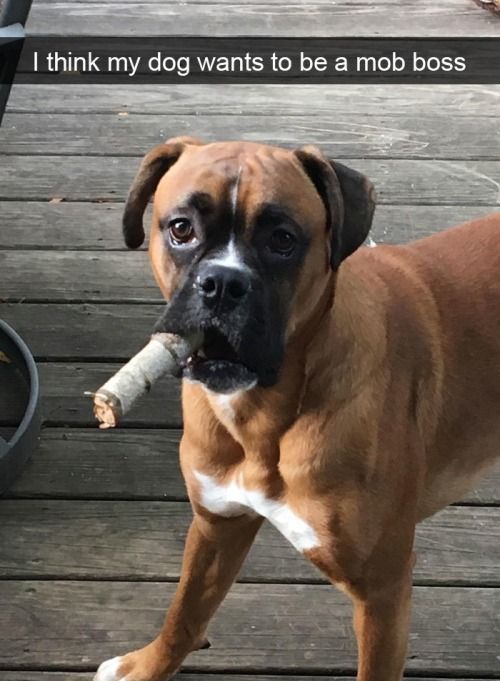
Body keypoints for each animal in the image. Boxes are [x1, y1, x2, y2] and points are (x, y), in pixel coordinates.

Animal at [94, 137, 500, 680]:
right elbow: (184, 613)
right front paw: (147, 666)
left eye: (283, 239)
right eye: (181, 228)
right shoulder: (216, 528)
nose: (222, 283)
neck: (263, 419)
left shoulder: (382, 592)